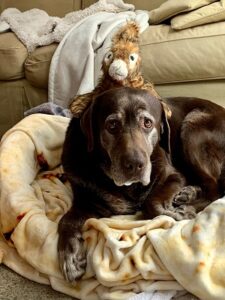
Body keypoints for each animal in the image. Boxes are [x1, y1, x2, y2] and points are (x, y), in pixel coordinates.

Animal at [57, 86, 225, 282]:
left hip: (192, 127)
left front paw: (177, 214)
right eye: (112, 125)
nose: (135, 164)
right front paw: (70, 256)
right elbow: (66, 220)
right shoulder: (86, 199)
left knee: (214, 189)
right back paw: (188, 193)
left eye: (147, 123)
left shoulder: (172, 175)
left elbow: (151, 202)